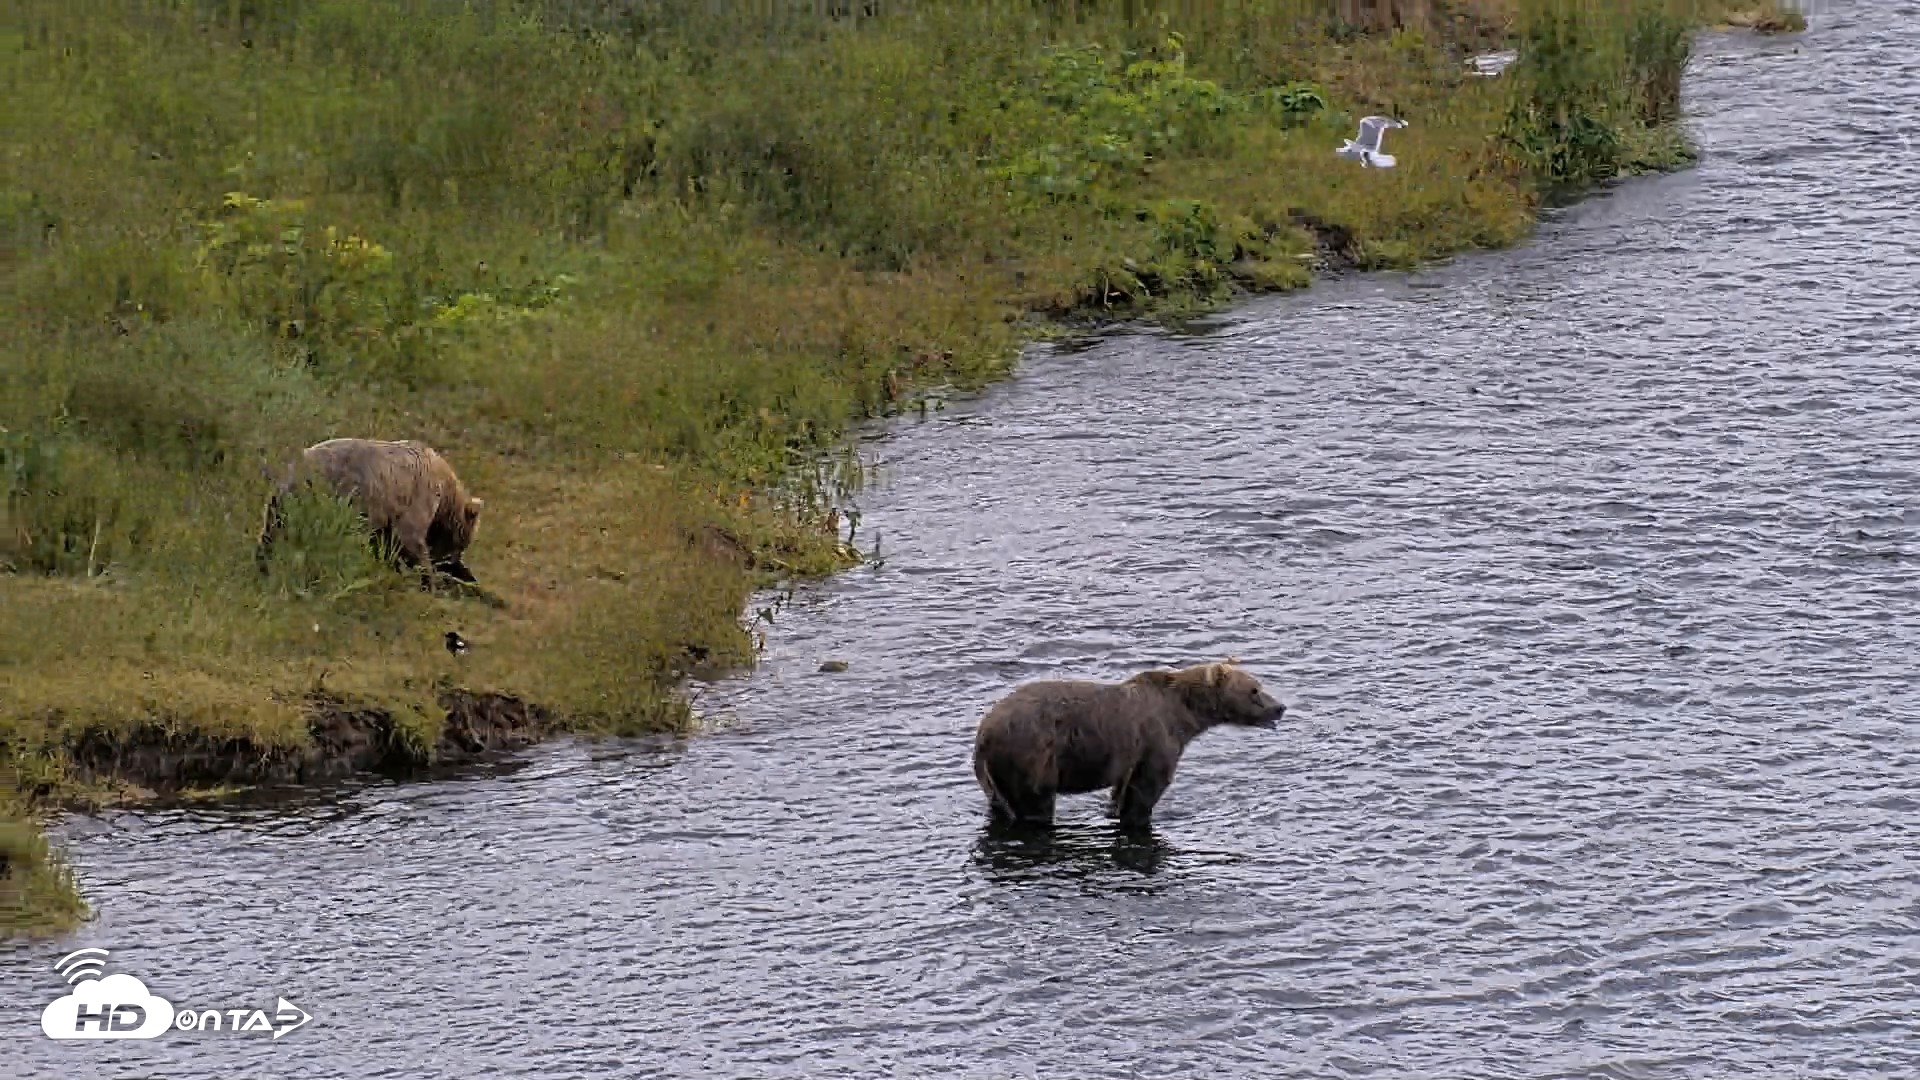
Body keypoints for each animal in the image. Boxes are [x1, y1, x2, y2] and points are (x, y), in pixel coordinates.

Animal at [256, 437, 484, 586]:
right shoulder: (417, 497)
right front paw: (431, 578)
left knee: (272, 532)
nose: (454, 563)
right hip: (330, 495)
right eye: (461, 544)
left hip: (284, 503)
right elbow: (409, 538)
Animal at [971, 660, 1287, 829]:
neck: (1184, 713)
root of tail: (984, 732)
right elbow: (1146, 788)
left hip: (994, 774)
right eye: (1254, 690)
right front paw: (1138, 818)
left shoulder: (1128, 756)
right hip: (1032, 755)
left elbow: (1122, 788)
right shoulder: (1156, 738)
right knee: (1035, 804)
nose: (1280, 707)